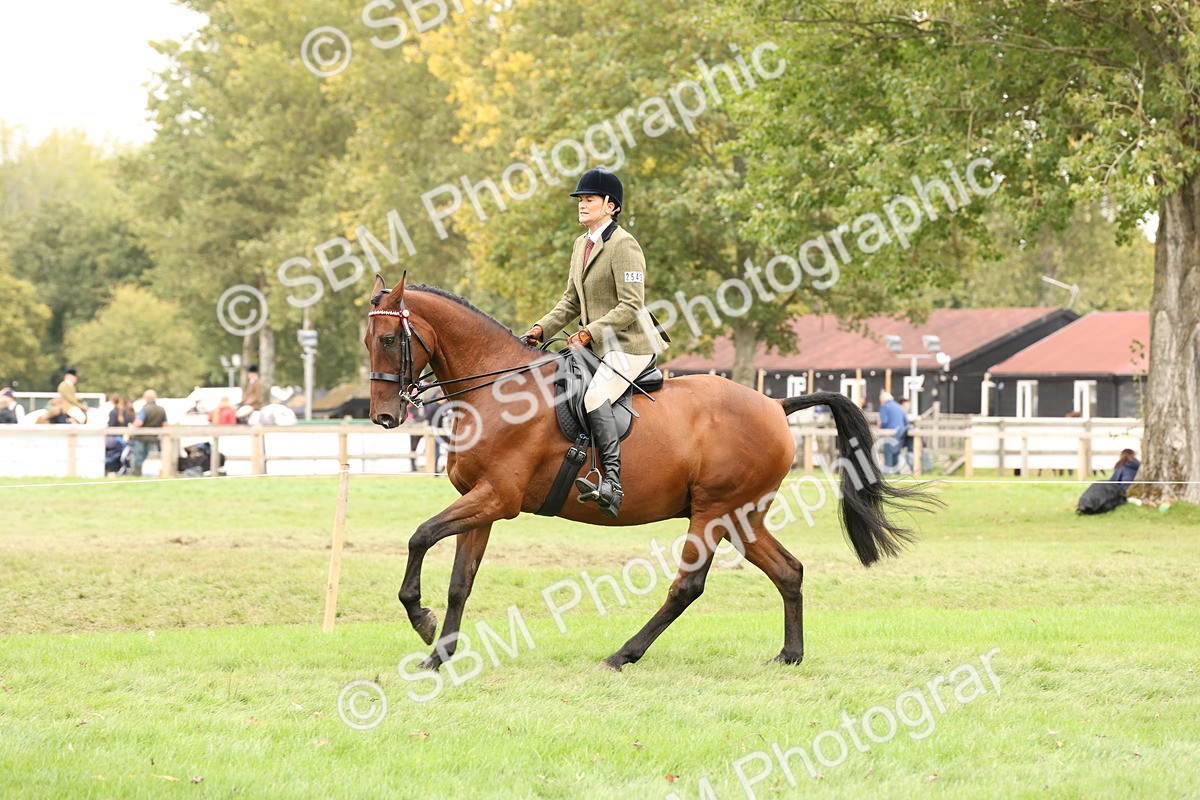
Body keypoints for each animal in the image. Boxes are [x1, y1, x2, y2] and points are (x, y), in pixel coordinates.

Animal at [365, 273, 935, 670]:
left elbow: (420, 537)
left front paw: (420, 620)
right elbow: (460, 581)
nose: (384, 417)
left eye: (390, 340)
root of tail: (775, 404)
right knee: (788, 571)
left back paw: (623, 655)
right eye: (367, 339)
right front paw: (438, 653)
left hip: (712, 513)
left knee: (687, 587)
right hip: (741, 518)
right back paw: (790, 655)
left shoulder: (497, 498)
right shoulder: (481, 503)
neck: (500, 390)